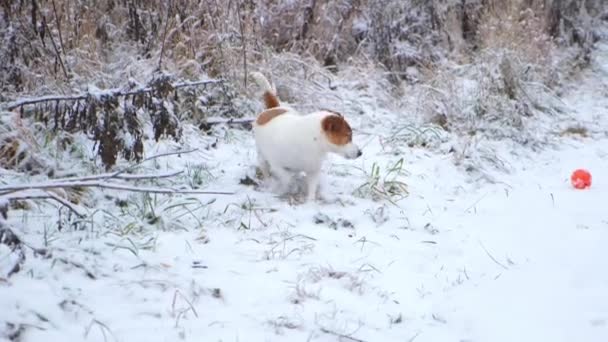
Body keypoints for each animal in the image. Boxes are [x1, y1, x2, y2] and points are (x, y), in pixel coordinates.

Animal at [251, 72, 364, 200]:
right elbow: (287, 178)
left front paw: (309, 202)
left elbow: (311, 189)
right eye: (348, 136)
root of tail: (273, 108)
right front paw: (284, 189)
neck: (312, 141)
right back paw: (269, 182)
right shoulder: (276, 164)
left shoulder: (313, 171)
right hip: (262, 157)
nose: (360, 153)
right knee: (265, 169)